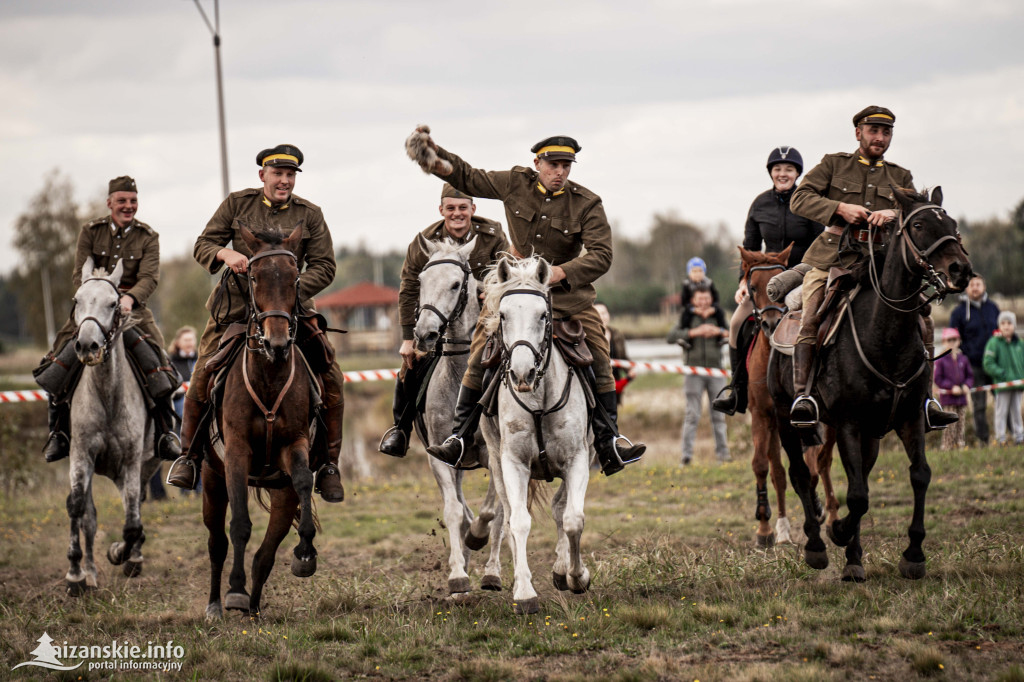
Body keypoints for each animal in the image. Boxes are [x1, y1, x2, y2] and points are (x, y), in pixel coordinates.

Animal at [62, 258, 158, 593]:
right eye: (76, 300)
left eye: (114, 303)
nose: (87, 345)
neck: (107, 395)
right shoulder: (81, 456)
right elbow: (79, 509)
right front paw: (76, 574)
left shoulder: (131, 460)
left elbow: (132, 522)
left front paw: (121, 553)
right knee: (89, 518)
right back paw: (90, 572)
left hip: (145, 464)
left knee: (136, 507)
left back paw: (133, 556)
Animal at [200, 222, 323, 614]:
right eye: (253, 277)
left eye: (294, 278)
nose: (277, 343)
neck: (268, 378)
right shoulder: (237, 453)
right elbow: (239, 524)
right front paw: (235, 591)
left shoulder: (294, 445)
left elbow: (303, 481)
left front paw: (305, 552)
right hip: (211, 481)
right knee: (216, 543)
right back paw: (217, 603)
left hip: (280, 494)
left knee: (265, 555)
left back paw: (254, 609)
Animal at [413, 236, 505, 593]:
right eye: (421, 281)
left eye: (455, 284)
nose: (424, 334)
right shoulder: (440, 456)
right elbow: (453, 510)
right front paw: (457, 575)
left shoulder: (497, 456)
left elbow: (493, 511)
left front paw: (479, 543)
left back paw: (492, 571)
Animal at [479, 253, 593, 610]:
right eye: (502, 315)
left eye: (543, 315)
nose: (521, 373)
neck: (539, 397)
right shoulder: (513, 463)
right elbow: (518, 521)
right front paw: (525, 592)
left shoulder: (577, 459)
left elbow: (572, 519)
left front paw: (576, 576)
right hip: (496, 464)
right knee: (507, 515)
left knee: (560, 509)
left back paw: (561, 569)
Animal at [770, 187, 970, 577]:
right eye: (919, 225)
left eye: (952, 223)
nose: (961, 270)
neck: (885, 335)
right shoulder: (850, 422)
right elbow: (858, 495)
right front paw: (838, 531)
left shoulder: (909, 418)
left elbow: (918, 475)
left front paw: (913, 554)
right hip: (787, 418)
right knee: (801, 475)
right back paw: (817, 547)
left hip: (867, 433)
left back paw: (854, 560)